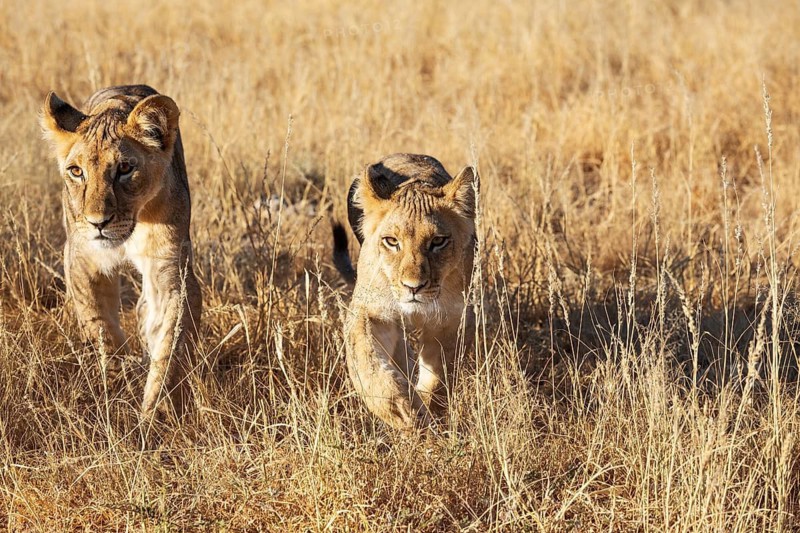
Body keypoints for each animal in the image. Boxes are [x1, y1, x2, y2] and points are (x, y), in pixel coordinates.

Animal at [40, 85, 202, 419]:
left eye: (125, 169)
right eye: (77, 171)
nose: (97, 222)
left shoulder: (171, 271)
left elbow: (170, 347)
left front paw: (154, 413)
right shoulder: (81, 260)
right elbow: (100, 327)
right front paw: (115, 383)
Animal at [333, 153, 477, 430]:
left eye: (438, 241)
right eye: (391, 241)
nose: (413, 287)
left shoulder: (450, 319)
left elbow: (438, 377)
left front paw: (426, 412)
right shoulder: (369, 311)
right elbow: (367, 361)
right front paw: (401, 411)